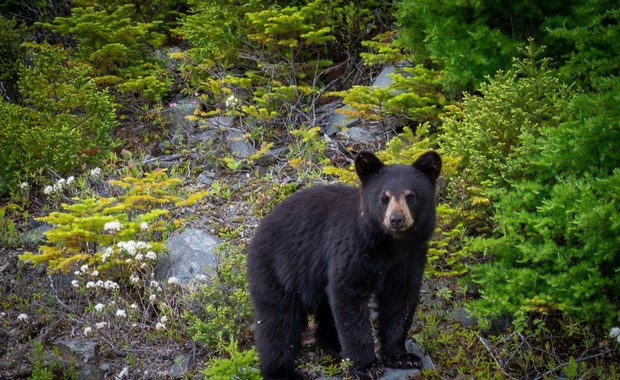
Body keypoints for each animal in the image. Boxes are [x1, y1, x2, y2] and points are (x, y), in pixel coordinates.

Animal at [247, 150, 440, 378]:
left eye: (410, 196)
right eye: (384, 198)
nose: (396, 219)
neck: (390, 244)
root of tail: (258, 231)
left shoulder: (410, 257)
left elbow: (399, 299)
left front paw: (402, 356)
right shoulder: (353, 249)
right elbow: (348, 295)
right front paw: (367, 366)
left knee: (324, 310)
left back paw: (334, 346)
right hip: (277, 270)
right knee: (278, 321)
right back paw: (281, 371)